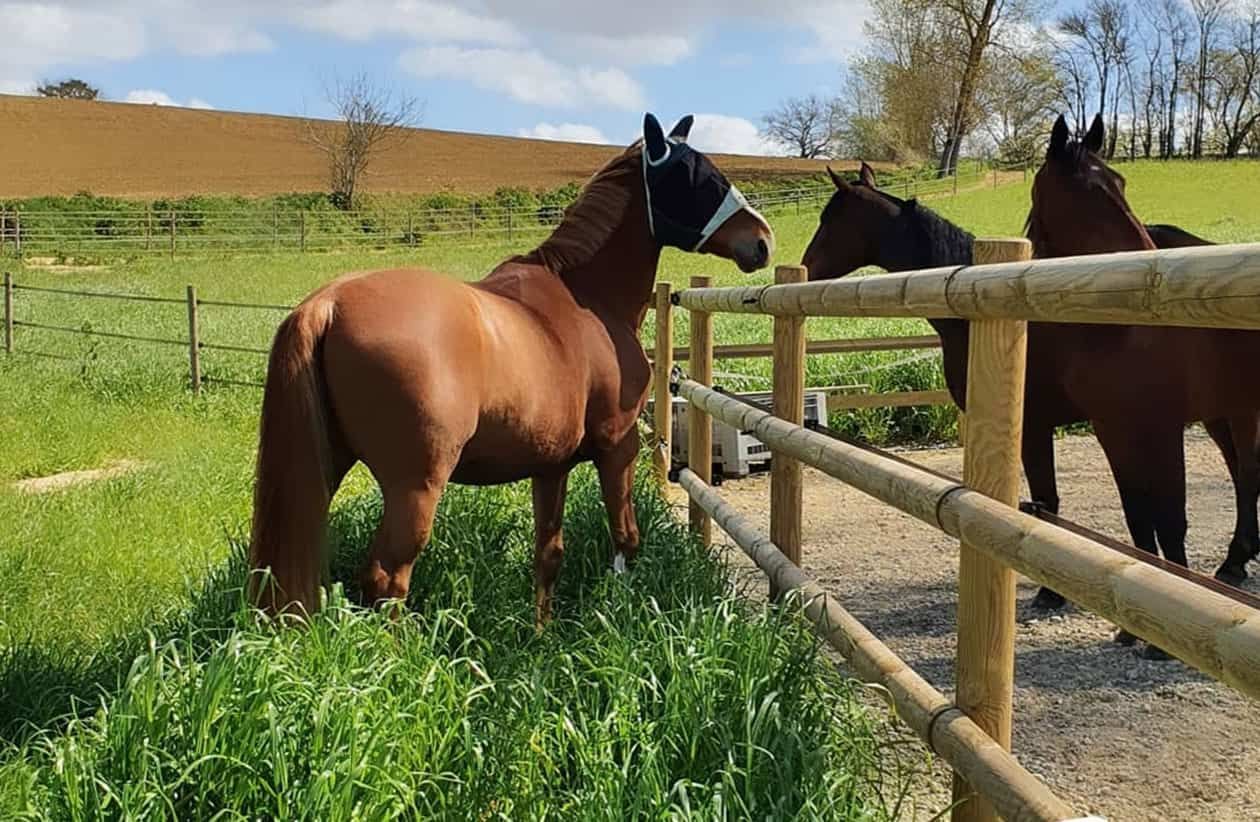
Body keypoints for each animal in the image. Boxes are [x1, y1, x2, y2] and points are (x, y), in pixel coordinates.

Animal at [245, 114, 771, 622]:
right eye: (696, 176)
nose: (762, 240)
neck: (587, 297)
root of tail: (328, 304)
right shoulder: (618, 447)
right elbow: (625, 540)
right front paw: (614, 617)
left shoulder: (551, 465)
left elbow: (549, 554)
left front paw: (542, 633)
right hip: (415, 486)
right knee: (386, 579)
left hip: (325, 468)